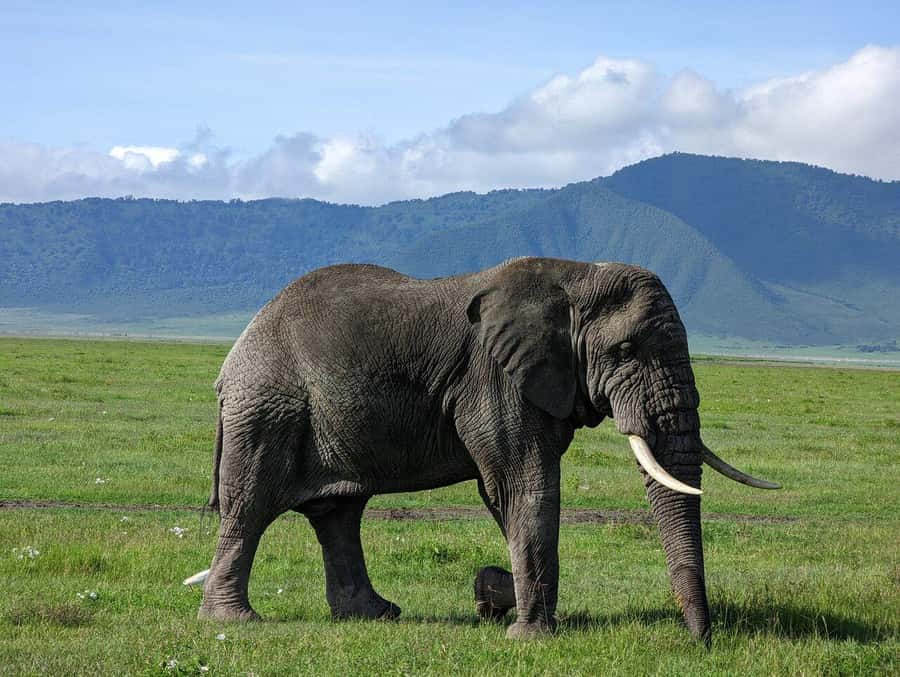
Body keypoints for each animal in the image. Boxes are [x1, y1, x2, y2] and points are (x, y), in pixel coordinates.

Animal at [185, 257, 778, 643]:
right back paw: (235, 623)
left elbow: (508, 496)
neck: (572, 276)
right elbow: (520, 486)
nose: (700, 641)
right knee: (251, 507)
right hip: (267, 410)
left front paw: (495, 596)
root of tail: (232, 358)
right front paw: (531, 635)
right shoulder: (493, 379)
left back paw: (375, 615)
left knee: (338, 513)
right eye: (626, 350)